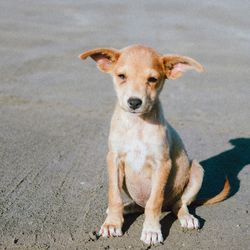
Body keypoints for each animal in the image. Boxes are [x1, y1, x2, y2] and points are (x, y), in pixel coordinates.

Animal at [79, 44, 229, 244]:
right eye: (121, 76)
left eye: (152, 79)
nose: (134, 102)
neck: (137, 124)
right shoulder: (114, 158)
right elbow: (114, 196)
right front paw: (112, 223)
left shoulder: (162, 163)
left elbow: (154, 201)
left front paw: (151, 230)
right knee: (139, 205)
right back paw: (126, 208)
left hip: (196, 170)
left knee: (178, 204)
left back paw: (186, 218)